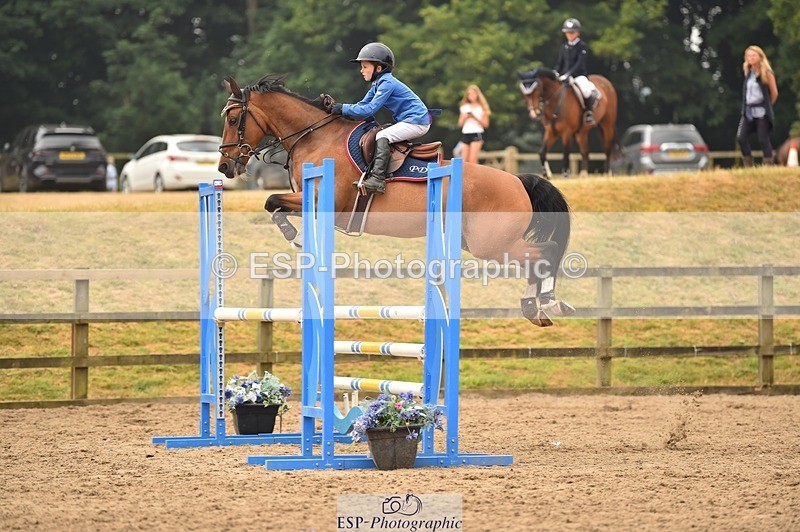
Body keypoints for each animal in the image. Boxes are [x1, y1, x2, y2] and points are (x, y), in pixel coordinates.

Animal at [216, 74, 575, 326]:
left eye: (233, 120)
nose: (224, 167)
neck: (315, 137)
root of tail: (517, 180)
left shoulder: (323, 202)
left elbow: (272, 201)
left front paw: (296, 238)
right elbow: (274, 203)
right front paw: (298, 238)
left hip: (490, 243)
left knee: (545, 253)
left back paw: (549, 302)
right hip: (480, 242)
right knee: (537, 259)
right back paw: (535, 307)